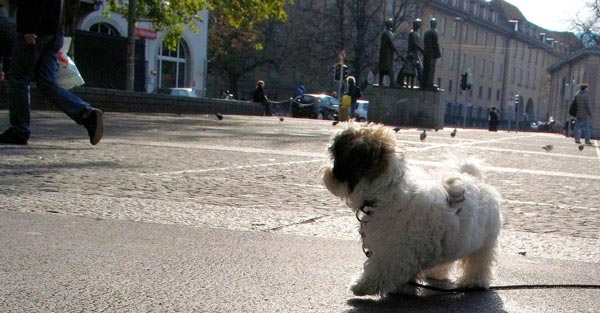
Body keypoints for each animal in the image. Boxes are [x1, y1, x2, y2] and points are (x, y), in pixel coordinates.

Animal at [324, 122, 502, 294]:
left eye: (337, 156)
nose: (327, 172)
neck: (385, 192)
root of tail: (473, 178)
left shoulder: (394, 250)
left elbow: (380, 267)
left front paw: (362, 285)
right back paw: (437, 273)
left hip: (484, 242)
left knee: (479, 261)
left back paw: (474, 281)